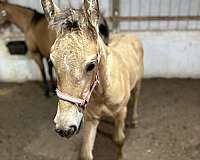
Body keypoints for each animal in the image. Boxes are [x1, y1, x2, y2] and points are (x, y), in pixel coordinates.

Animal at [41, 0, 143, 159]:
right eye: (51, 62)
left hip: (138, 82)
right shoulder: (91, 118)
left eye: (91, 65)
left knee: (136, 97)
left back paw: (134, 121)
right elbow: (85, 152)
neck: (103, 92)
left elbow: (119, 139)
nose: (65, 128)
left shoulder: (121, 112)